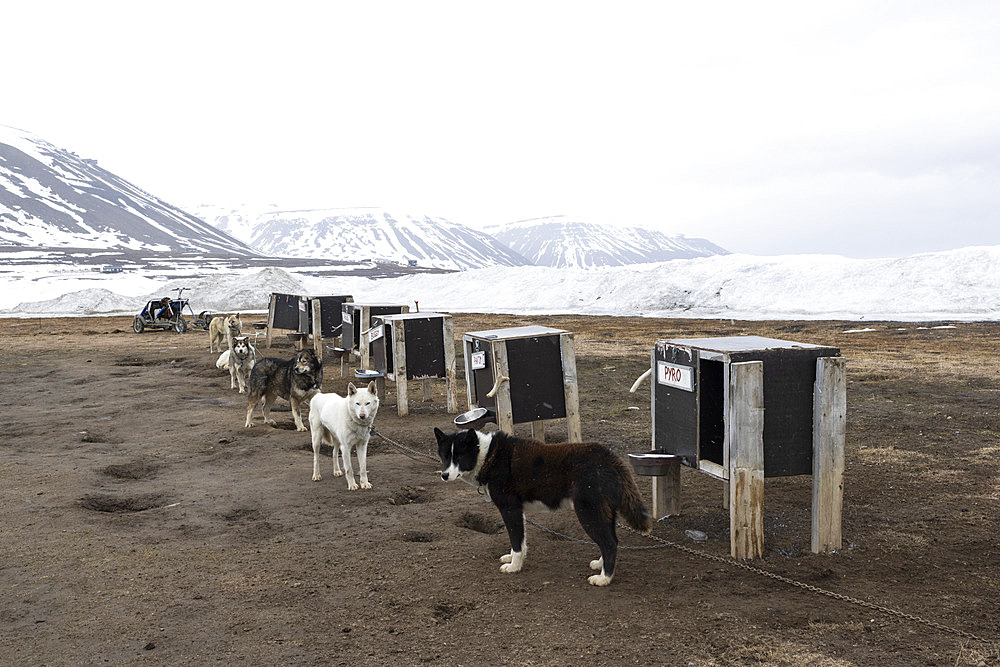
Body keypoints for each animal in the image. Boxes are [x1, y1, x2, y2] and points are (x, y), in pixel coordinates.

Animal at [434, 430, 652, 588]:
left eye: (459, 457)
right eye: (445, 456)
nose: (444, 475)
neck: (488, 455)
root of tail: (608, 457)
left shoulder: (509, 509)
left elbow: (516, 541)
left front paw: (514, 567)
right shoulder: (517, 511)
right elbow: (519, 542)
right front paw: (513, 559)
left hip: (588, 512)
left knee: (609, 543)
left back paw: (604, 579)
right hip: (604, 512)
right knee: (611, 541)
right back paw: (600, 565)